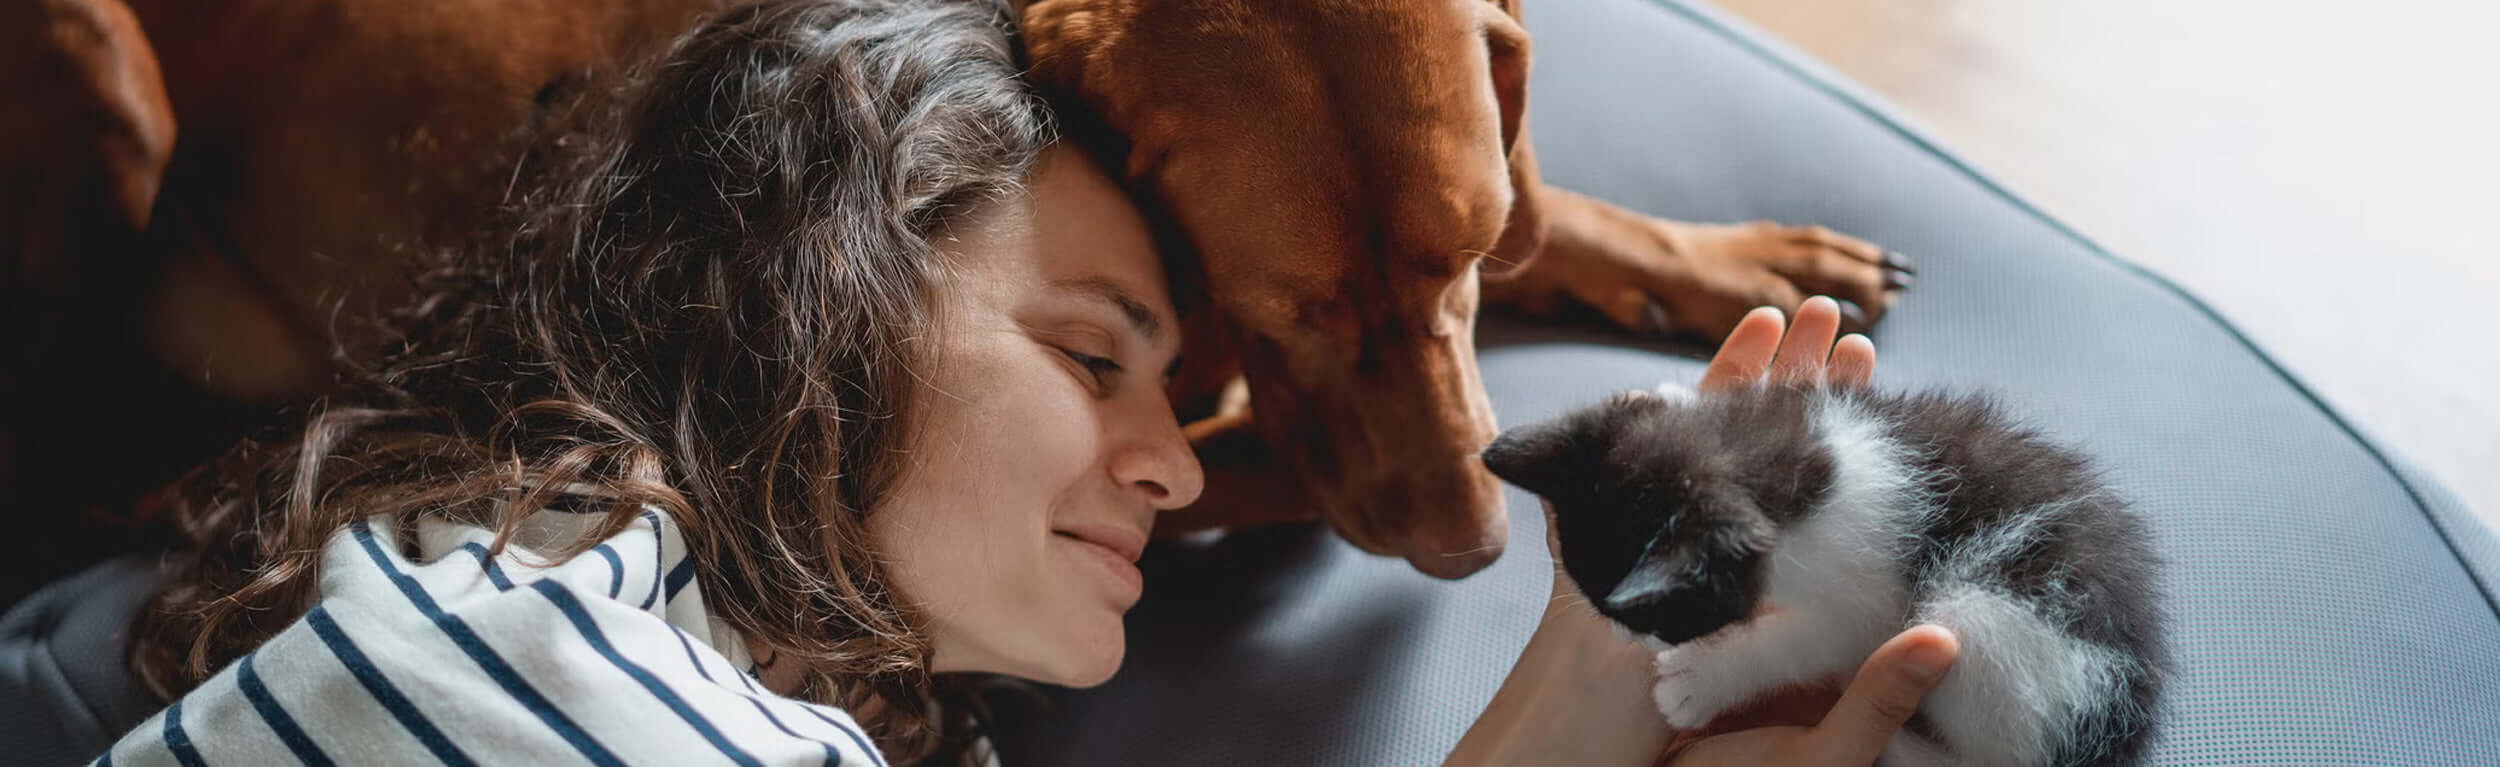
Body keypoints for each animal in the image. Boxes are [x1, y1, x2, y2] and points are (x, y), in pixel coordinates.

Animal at [1480, 384, 2170, 767]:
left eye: (1660, 616)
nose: (1626, 639)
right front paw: (1670, 391)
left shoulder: (1869, 597)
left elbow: (1811, 641)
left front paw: (1699, 681)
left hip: (1990, 618)